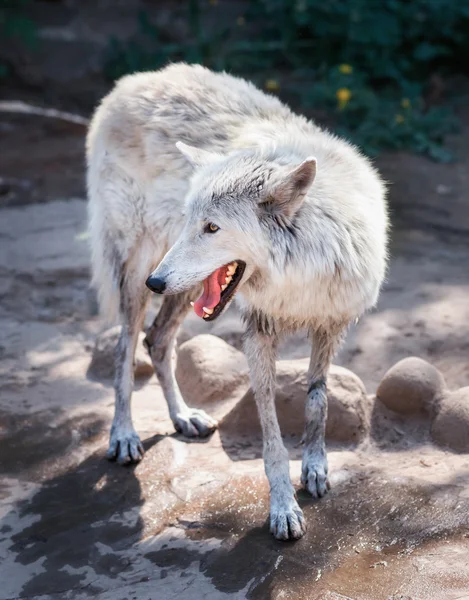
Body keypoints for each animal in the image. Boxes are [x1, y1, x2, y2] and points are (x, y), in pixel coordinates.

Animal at [86, 63, 386, 540]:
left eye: (211, 227)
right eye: (190, 221)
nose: (156, 282)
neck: (299, 272)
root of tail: (134, 80)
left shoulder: (331, 325)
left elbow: (317, 401)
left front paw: (316, 468)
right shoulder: (259, 332)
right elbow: (272, 436)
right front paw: (283, 508)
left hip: (184, 288)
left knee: (157, 340)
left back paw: (183, 417)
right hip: (139, 270)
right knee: (124, 348)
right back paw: (124, 435)